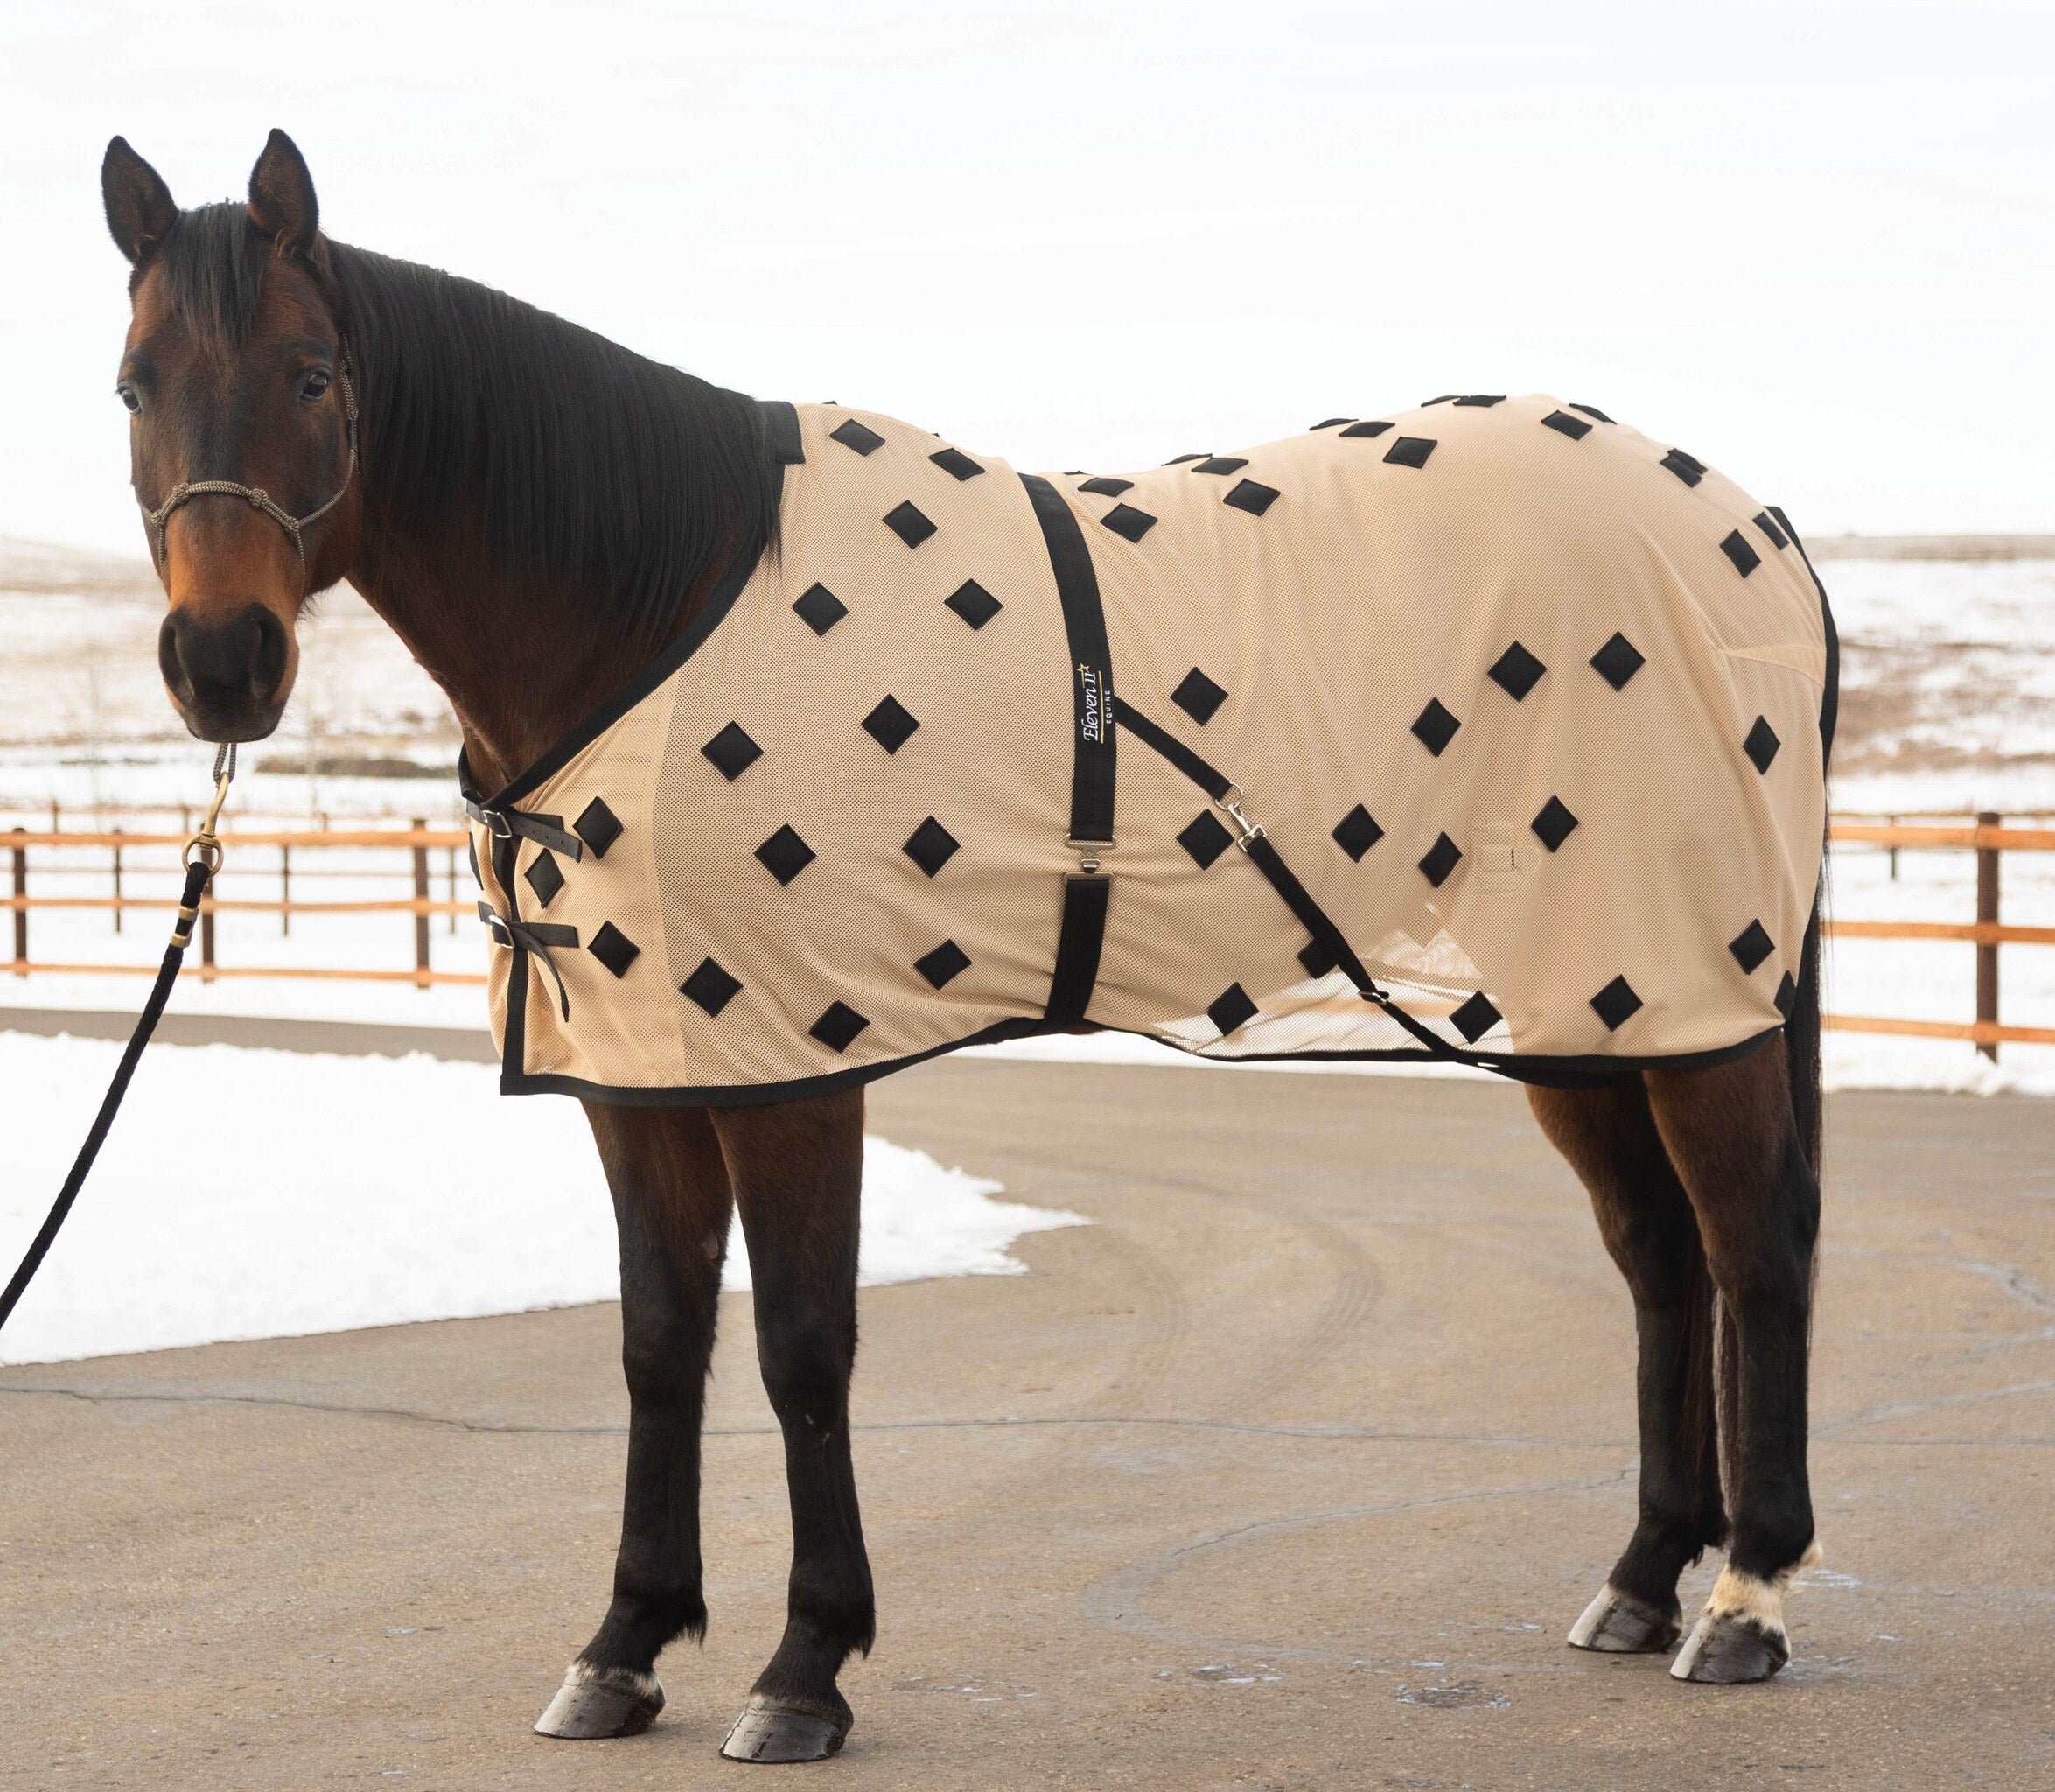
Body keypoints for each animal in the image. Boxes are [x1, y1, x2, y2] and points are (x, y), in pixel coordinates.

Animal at [97, 129, 1827, 1762]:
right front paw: (624, 1645)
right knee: (1657, 1254)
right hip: (1584, 1005)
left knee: (1754, 1247)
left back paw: (1743, 1600)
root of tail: (1749, 517)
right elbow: (659, 1343)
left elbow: (801, 1347)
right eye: (131, 382)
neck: (658, 600)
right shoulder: (640, 1074)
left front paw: (804, 1668)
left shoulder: (791, 1066)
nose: (221, 665)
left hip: (1684, 989)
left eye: (312, 375)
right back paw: (1638, 1578)